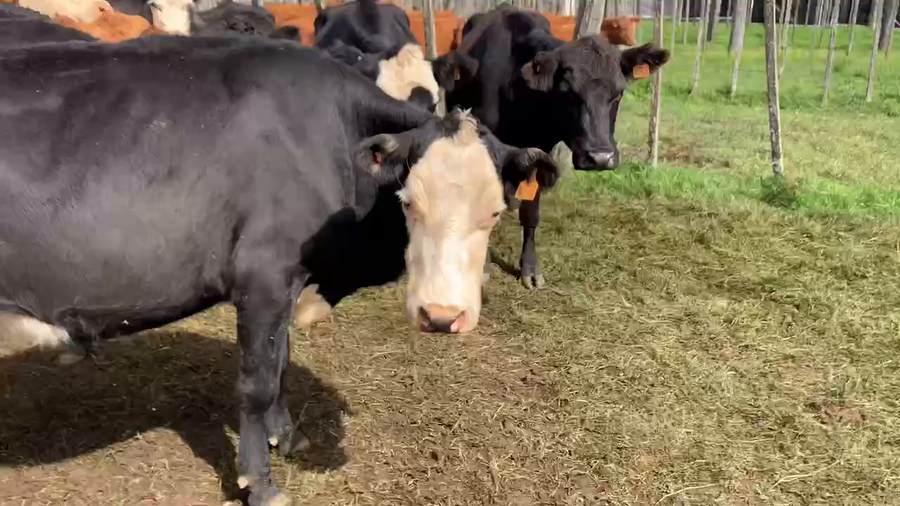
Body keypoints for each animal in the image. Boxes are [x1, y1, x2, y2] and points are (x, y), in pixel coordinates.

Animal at [0, 35, 558, 505]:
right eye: (408, 202)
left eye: (494, 212)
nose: (441, 316)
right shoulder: (263, 276)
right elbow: (257, 382)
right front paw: (260, 483)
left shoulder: (287, 280)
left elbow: (281, 362)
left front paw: (286, 437)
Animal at [433, 4, 668, 288]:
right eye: (568, 92)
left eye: (619, 92)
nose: (600, 157)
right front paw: (485, 266)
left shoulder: (540, 150)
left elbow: (531, 213)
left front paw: (530, 269)